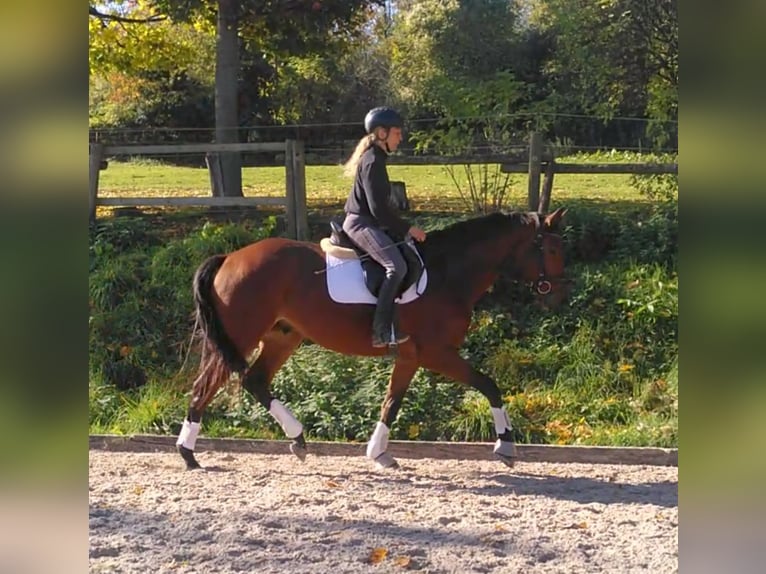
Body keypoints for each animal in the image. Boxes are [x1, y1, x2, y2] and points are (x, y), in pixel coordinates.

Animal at [176, 209, 568, 470]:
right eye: (550, 250)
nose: (556, 297)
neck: (448, 273)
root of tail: (230, 257)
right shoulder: (437, 353)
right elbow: (489, 385)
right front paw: (506, 446)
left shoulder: (411, 356)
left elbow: (391, 401)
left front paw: (378, 451)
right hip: (242, 334)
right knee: (206, 385)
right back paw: (188, 453)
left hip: (281, 337)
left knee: (255, 381)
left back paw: (297, 438)